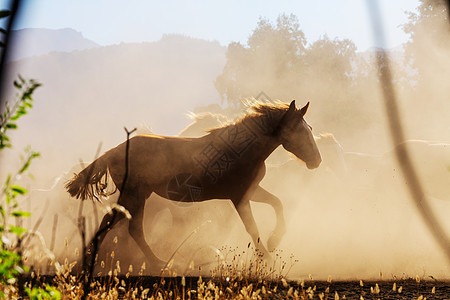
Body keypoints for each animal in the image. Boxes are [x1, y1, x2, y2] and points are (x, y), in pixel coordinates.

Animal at [66, 100, 320, 270]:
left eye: (310, 129)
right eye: (298, 131)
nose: (317, 161)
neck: (242, 150)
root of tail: (116, 149)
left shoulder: (251, 191)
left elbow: (277, 203)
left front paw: (274, 241)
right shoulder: (239, 196)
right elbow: (252, 228)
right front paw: (267, 257)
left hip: (136, 196)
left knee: (112, 224)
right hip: (134, 195)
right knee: (131, 228)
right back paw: (159, 263)